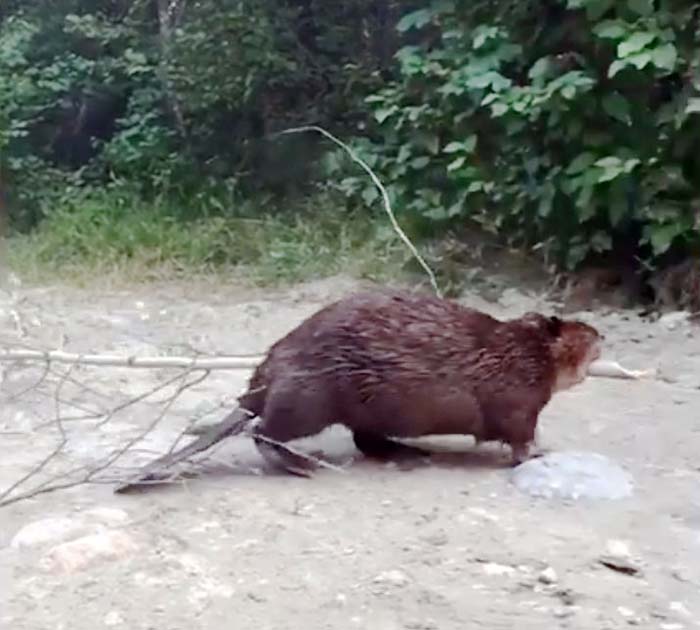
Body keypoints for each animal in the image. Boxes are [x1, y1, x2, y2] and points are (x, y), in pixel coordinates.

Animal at [116, 288, 600, 492]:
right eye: (580, 330)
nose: (603, 335)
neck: (517, 350)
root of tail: (255, 390)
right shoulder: (518, 395)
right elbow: (519, 434)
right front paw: (539, 453)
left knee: (364, 439)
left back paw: (410, 452)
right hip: (313, 399)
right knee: (264, 431)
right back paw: (301, 466)